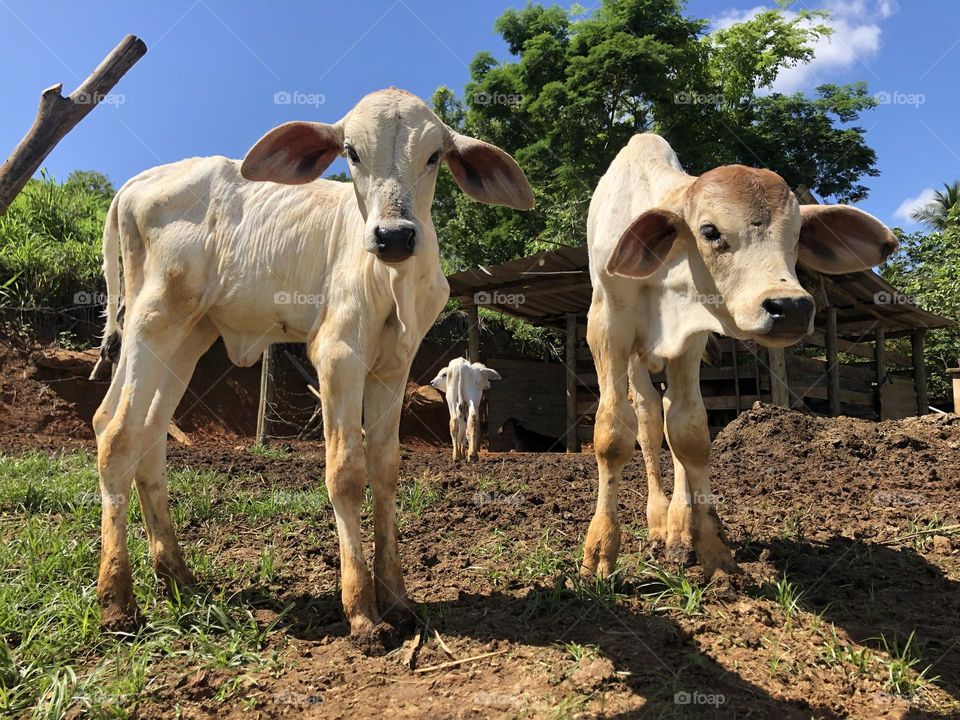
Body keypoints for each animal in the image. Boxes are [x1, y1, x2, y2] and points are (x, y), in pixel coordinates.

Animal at [90, 88, 532, 640]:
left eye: (434, 156)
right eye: (352, 152)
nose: (393, 236)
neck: (395, 281)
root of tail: (136, 184)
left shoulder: (395, 365)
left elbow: (386, 469)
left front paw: (397, 598)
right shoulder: (337, 353)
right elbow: (346, 473)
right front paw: (361, 610)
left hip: (189, 336)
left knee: (146, 437)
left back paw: (177, 574)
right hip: (152, 322)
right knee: (116, 433)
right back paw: (116, 600)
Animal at [576, 134, 900, 580]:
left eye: (796, 236)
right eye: (710, 231)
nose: (790, 307)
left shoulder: (691, 338)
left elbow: (690, 435)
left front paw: (710, 547)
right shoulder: (608, 325)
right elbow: (613, 434)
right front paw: (601, 549)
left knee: (671, 417)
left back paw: (678, 527)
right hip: (635, 361)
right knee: (648, 418)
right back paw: (658, 519)